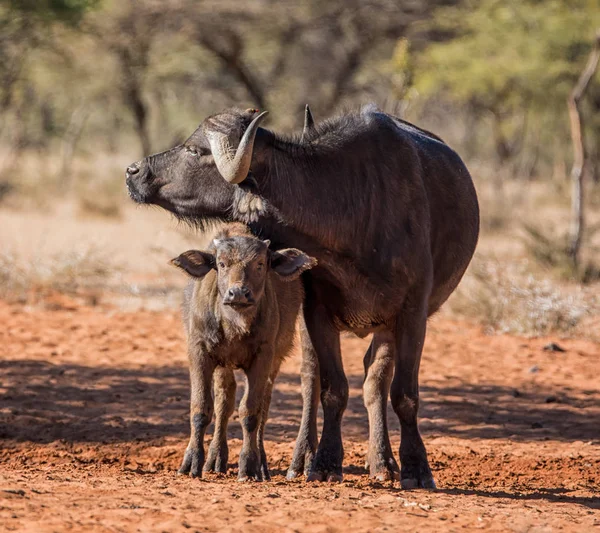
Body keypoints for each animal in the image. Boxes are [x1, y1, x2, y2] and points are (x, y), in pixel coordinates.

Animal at [171, 222, 316, 480]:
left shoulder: (264, 356)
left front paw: (248, 466)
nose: (238, 293)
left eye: (260, 264)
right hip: (223, 365)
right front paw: (192, 463)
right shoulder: (199, 351)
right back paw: (215, 458)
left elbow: (250, 412)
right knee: (224, 400)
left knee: (263, 405)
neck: (234, 325)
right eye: (221, 263)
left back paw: (260, 465)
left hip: (275, 360)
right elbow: (201, 408)